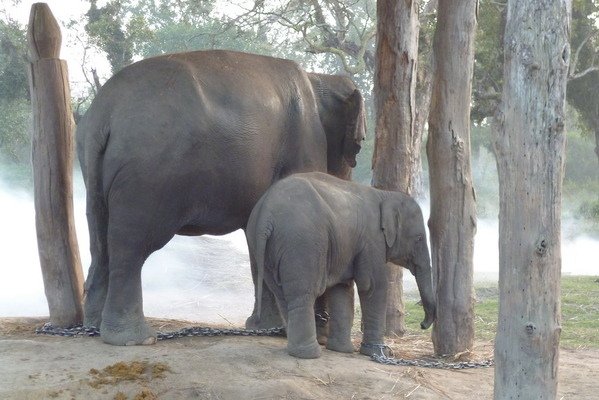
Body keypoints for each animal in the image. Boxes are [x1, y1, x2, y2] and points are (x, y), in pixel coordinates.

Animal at [76, 49, 366, 344]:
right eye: (357, 146)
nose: (324, 327)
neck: (317, 79)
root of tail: (103, 114)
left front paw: (264, 328)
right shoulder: (304, 147)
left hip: (94, 171)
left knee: (100, 242)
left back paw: (94, 327)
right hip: (146, 175)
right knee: (131, 247)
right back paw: (135, 338)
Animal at [245, 170, 436, 358]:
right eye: (419, 238)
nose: (422, 324)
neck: (385, 194)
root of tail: (266, 215)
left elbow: (342, 288)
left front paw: (342, 350)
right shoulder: (371, 240)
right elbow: (372, 286)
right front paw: (379, 352)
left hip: (265, 250)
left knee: (283, 296)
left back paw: (295, 351)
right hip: (301, 243)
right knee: (303, 294)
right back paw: (309, 354)